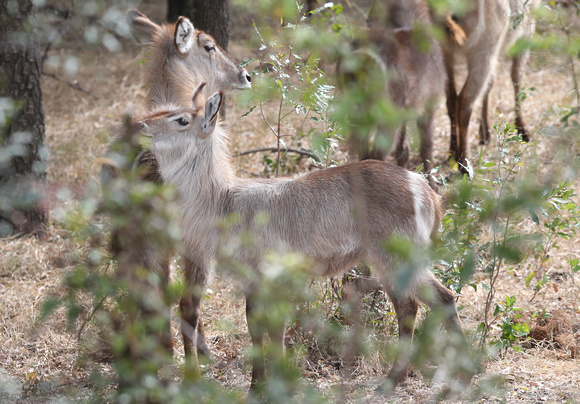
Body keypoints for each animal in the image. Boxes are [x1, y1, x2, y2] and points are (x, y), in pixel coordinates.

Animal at [140, 86, 472, 392]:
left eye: (182, 120)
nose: (141, 124)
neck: (223, 201)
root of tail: (424, 188)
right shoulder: (253, 281)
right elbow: (258, 328)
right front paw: (261, 383)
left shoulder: (268, 276)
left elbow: (269, 328)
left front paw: (268, 384)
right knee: (425, 303)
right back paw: (422, 376)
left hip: (395, 258)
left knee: (426, 302)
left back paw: (432, 375)